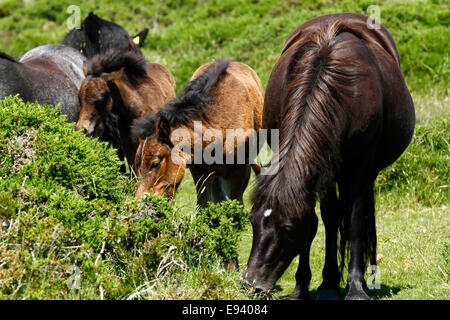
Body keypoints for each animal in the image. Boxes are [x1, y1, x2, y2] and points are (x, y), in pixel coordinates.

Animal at [130, 60, 264, 206]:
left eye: (155, 164)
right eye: (136, 166)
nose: (140, 203)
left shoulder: (241, 170)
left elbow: (234, 203)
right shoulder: (199, 171)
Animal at [243, 13, 414, 300]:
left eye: (286, 228)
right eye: (252, 220)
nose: (251, 282)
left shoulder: (358, 168)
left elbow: (353, 222)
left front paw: (355, 287)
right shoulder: (318, 171)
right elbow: (319, 219)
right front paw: (305, 286)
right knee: (332, 216)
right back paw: (330, 282)